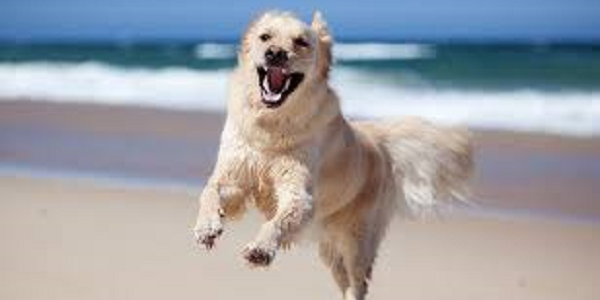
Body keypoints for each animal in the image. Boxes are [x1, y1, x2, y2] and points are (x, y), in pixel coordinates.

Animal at [192, 11, 474, 300]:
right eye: (265, 37)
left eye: (301, 42)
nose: (275, 54)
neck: (272, 123)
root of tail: (376, 140)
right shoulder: (235, 178)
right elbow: (209, 191)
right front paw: (206, 226)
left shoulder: (298, 192)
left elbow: (278, 221)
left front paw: (261, 248)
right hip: (329, 247)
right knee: (343, 277)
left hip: (357, 241)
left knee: (358, 282)